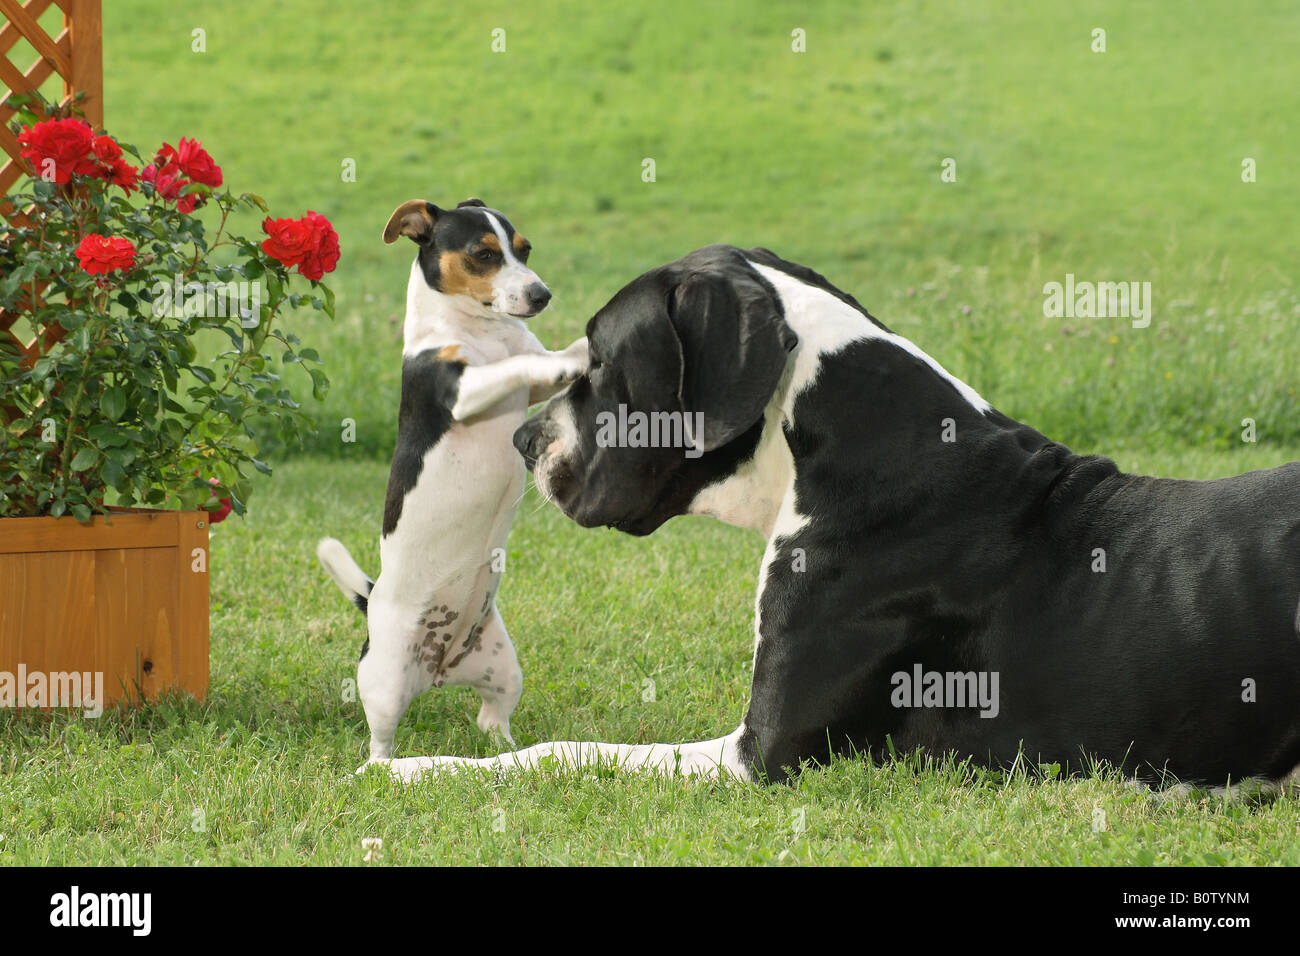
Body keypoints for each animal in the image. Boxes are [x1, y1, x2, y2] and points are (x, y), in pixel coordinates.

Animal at [319, 197, 590, 764]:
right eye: (483, 254)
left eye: (524, 250)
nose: (542, 294)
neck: (484, 330)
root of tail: (439, 672)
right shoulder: (462, 388)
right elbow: (522, 364)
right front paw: (577, 353)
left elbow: (534, 361)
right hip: (385, 681)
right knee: (380, 741)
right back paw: (379, 769)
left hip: (502, 666)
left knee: (492, 718)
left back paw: (507, 750)